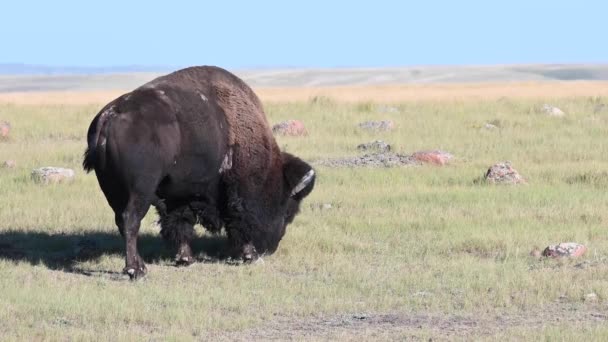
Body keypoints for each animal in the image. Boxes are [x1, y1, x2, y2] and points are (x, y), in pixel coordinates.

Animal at [83, 65, 316, 280]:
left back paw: (140, 265)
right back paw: (136, 270)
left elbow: (180, 223)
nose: (271, 248)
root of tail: (110, 116)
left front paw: (186, 258)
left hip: (113, 189)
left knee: (121, 222)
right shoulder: (234, 191)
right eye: (287, 210)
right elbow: (238, 220)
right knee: (130, 220)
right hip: (140, 190)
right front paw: (250, 255)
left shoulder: (179, 194)